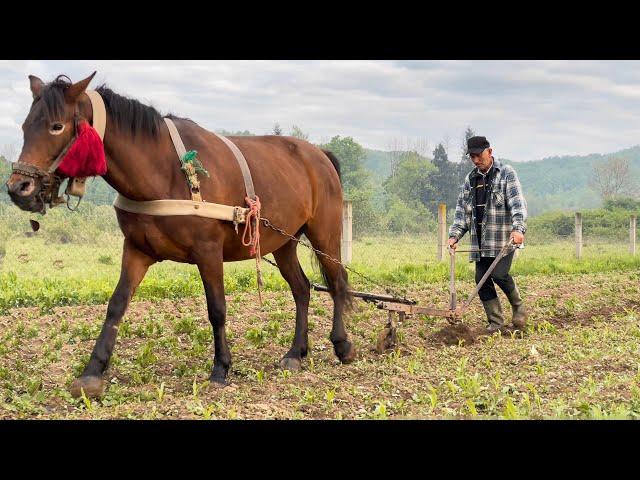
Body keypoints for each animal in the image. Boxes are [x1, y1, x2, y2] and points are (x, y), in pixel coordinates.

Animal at [5, 70, 356, 394]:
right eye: (24, 127)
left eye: (56, 126)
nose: (18, 188)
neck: (164, 170)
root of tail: (320, 154)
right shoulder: (136, 249)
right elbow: (116, 305)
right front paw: (93, 371)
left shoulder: (208, 250)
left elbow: (217, 308)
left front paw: (221, 367)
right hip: (283, 241)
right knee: (302, 289)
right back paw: (296, 352)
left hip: (324, 233)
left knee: (337, 282)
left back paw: (342, 344)